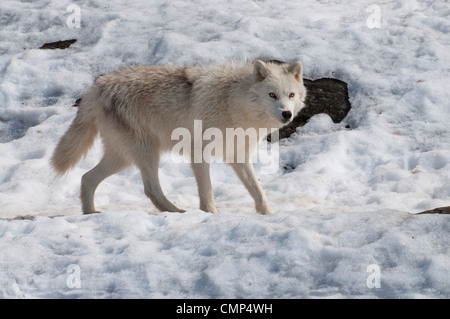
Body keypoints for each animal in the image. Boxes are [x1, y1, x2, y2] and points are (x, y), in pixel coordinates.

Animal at [51, 60, 306, 215]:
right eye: (272, 95)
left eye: (291, 95)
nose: (287, 114)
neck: (233, 103)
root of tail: (96, 87)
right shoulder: (199, 154)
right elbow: (207, 192)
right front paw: (210, 214)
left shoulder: (238, 158)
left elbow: (258, 191)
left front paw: (269, 214)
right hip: (146, 154)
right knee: (151, 189)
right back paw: (177, 212)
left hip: (122, 158)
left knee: (86, 178)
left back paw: (90, 214)